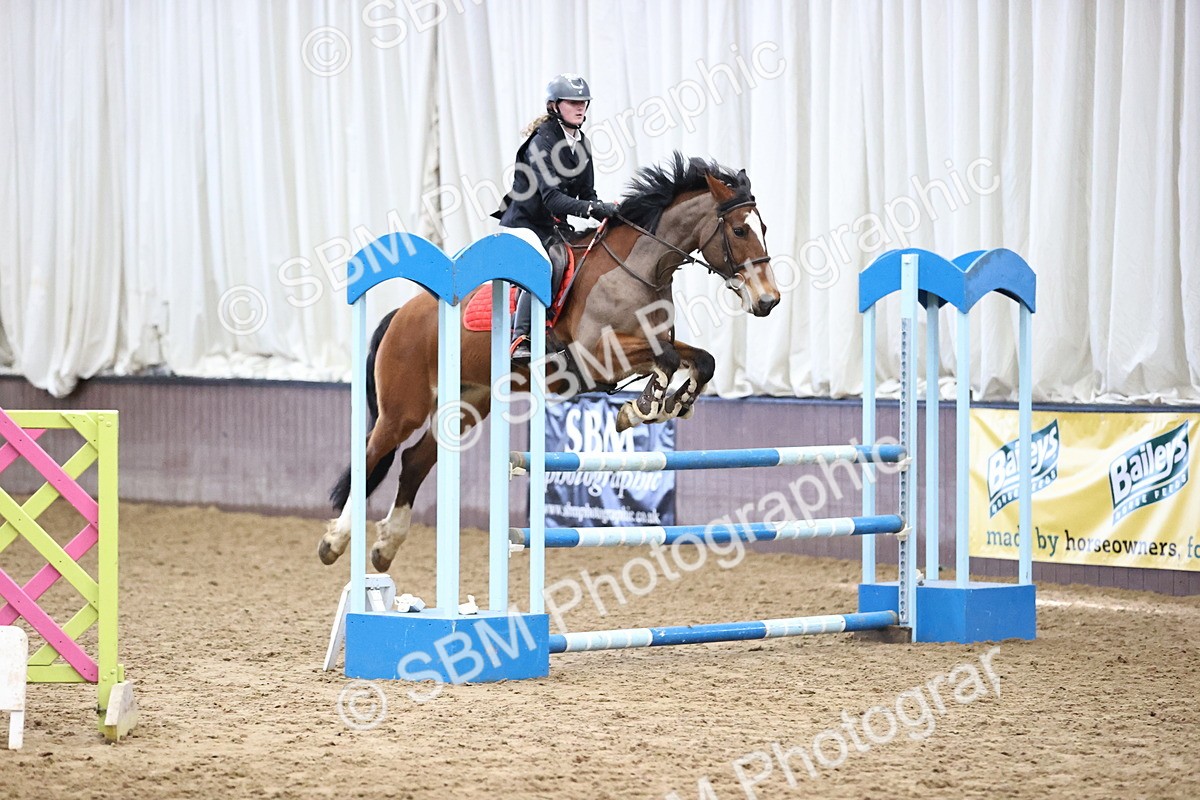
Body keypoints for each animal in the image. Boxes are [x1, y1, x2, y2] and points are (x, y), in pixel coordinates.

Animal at [318, 154, 782, 572]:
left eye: (763, 228)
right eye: (739, 229)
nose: (768, 301)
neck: (637, 270)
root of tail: (401, 313)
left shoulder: (646, 343)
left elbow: (702, 361)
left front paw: (669, 403)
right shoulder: (596, 357)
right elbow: (665, 360)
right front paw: (645, 405)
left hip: (467, 405)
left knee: (414, 461)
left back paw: (386, 546)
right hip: (405, 409)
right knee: (372, 453)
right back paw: (335, 540)